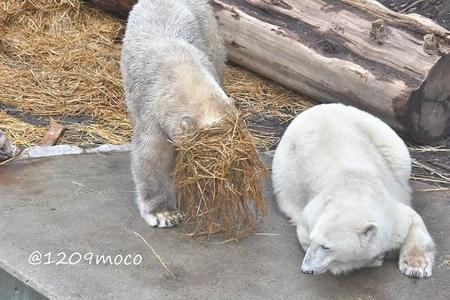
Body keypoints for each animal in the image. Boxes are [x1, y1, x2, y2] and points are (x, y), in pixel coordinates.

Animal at [272, 103, 434, 278]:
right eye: (312, 239)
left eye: (326, 246)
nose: (306, 269)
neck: (354, 190)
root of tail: (317, 107)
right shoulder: (309, 216)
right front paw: (377, 258)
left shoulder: (392, 213)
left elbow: (413, 220)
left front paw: (416, 267)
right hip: (284, 167)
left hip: (378, 132)